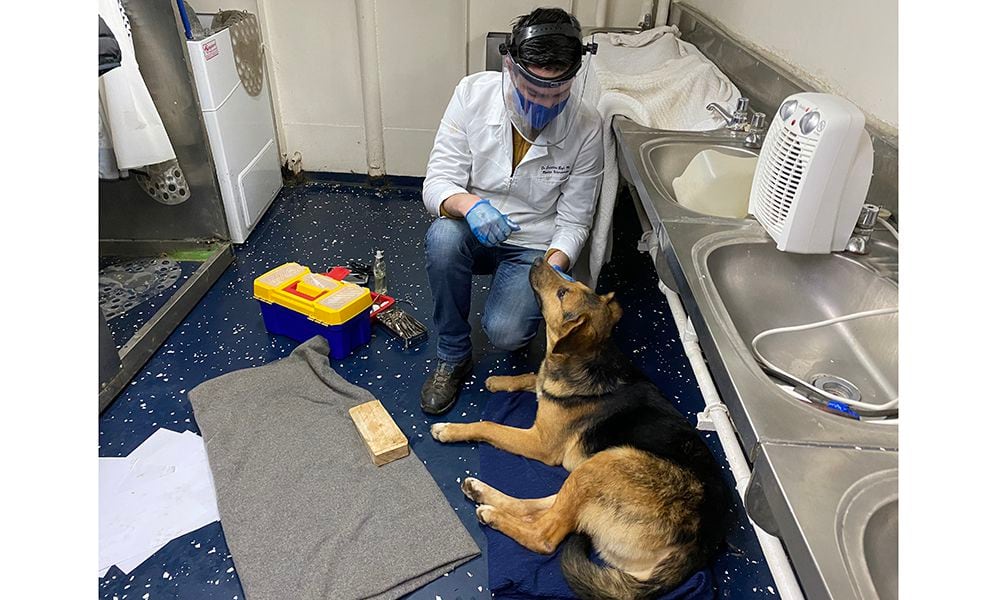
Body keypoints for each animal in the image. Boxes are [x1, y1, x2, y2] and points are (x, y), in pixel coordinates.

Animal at [430, 258, 728, 600]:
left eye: (563, 292)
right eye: (571, 284)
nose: (538, 259)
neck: (587, 359)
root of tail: (699, 545)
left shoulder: (540, 442)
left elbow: (490, 425)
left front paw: (452, 429)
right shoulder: (544, 384)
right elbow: (534, 375)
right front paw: (501, 381)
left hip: (608, 462)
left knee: (546, 534)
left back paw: (493, 515)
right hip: (591, 474)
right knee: (545, 506)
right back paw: (483, 493)